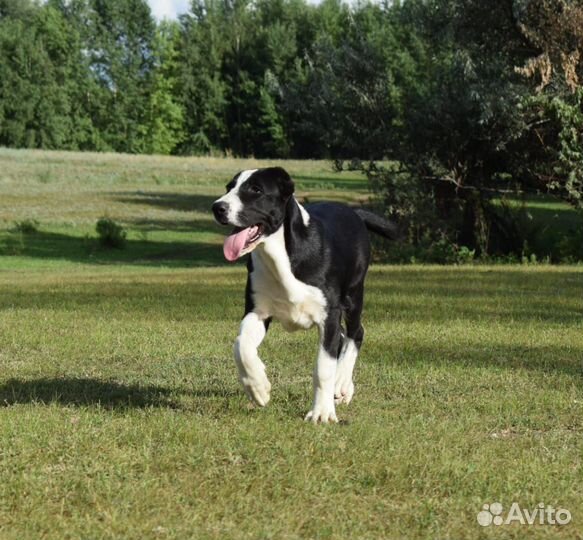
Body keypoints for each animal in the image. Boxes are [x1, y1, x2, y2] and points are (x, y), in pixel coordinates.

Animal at [212, 167, 400, 424]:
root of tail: (353, 212)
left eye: (256, 190)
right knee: (343, 336)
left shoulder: (329, 315)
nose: (217, 207)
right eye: (229, 187)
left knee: (356, 333)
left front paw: (322, 412)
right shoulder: (257, 311)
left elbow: (323, 368)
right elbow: (241, 345)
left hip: (353, 294)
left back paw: (342, 384)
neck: (281, 255)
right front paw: (258, 388)